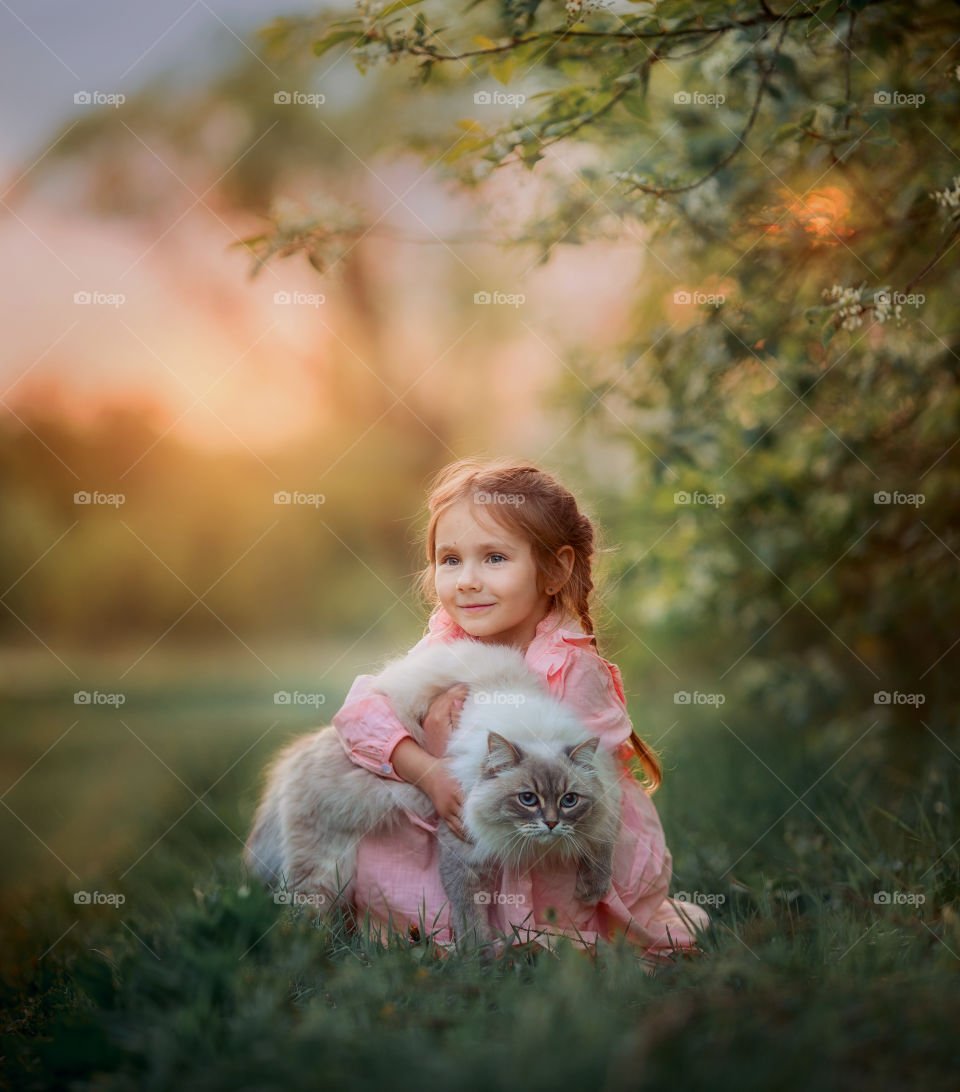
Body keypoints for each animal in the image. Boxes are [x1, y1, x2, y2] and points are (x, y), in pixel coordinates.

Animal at [243, 637, 629, 947]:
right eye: (527, 799)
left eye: (569, 801)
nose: (550, 824)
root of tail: (291, 760)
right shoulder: (464, 849)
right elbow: (470, 917)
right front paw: (480, 961)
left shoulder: (608, 793)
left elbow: (603, 840)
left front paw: (591, 890)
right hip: (322, 874)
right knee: (302, 921)